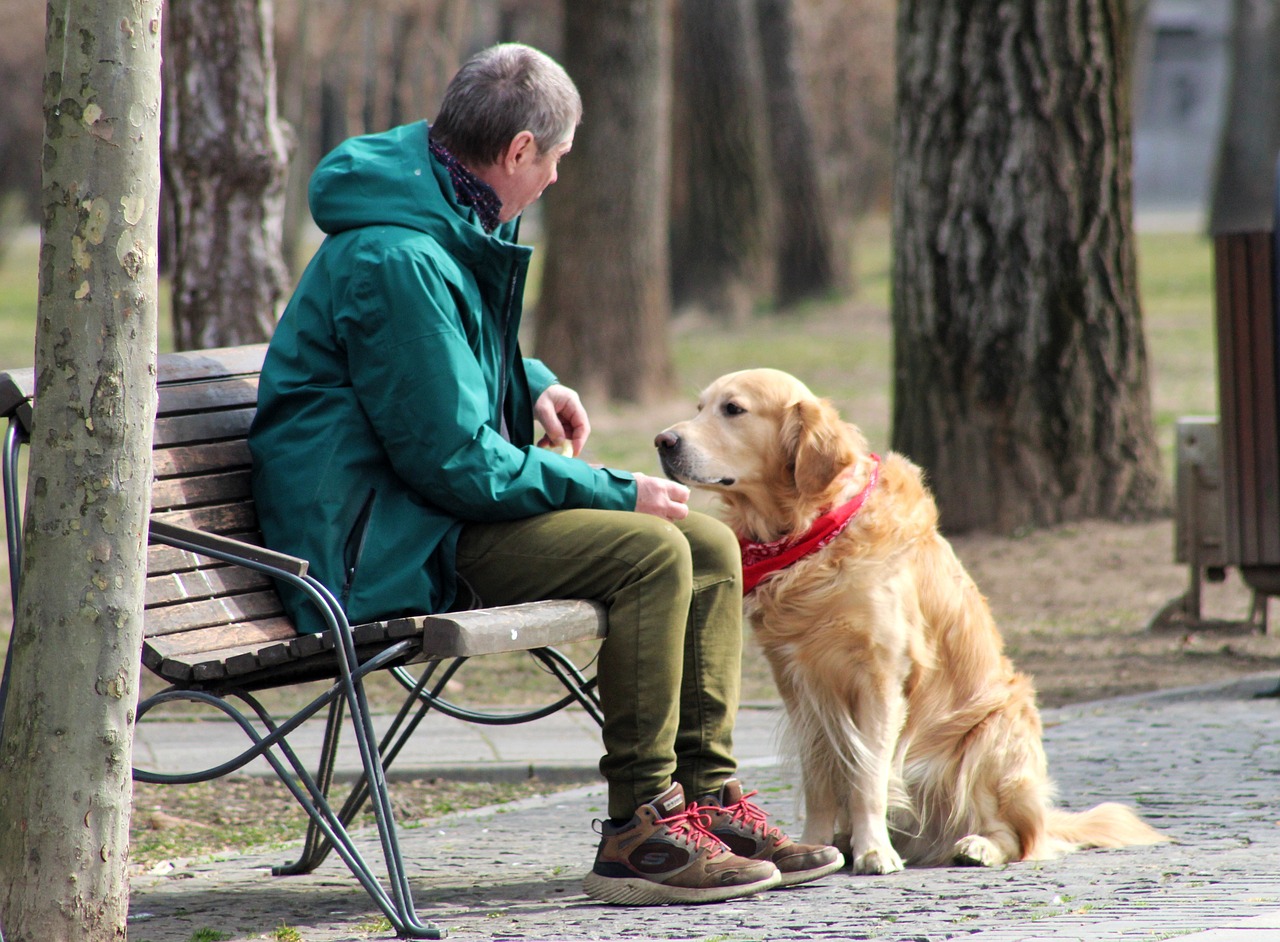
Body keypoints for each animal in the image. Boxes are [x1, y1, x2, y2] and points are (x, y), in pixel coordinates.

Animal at [660, 368, 1172, 875]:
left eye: (733, 409)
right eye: (700, 406)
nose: (663, 441)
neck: (814, 532)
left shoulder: (880, 678)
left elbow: (868, 777)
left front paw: (874, 851)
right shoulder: (799, 685)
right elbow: (821, 780)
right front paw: (815, 845)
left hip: (992, 732)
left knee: (1019, 836)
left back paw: (976, 846)